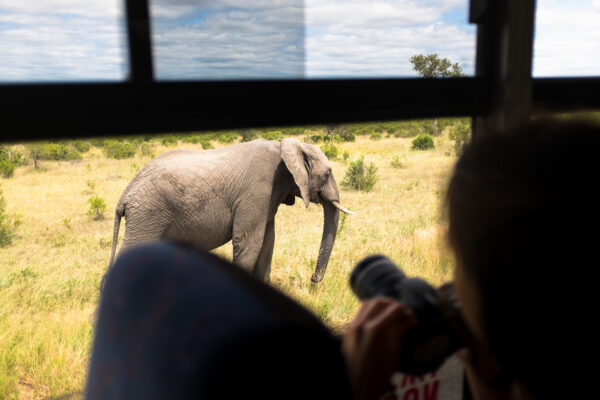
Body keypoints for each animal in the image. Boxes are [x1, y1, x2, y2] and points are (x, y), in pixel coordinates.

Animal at [109, 139, 352, 282]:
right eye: (328, 173)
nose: (313, 279)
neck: (285, 146)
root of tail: (125, 194)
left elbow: (267, 243)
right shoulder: (257, 192)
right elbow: (249, 243)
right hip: (147, 214)